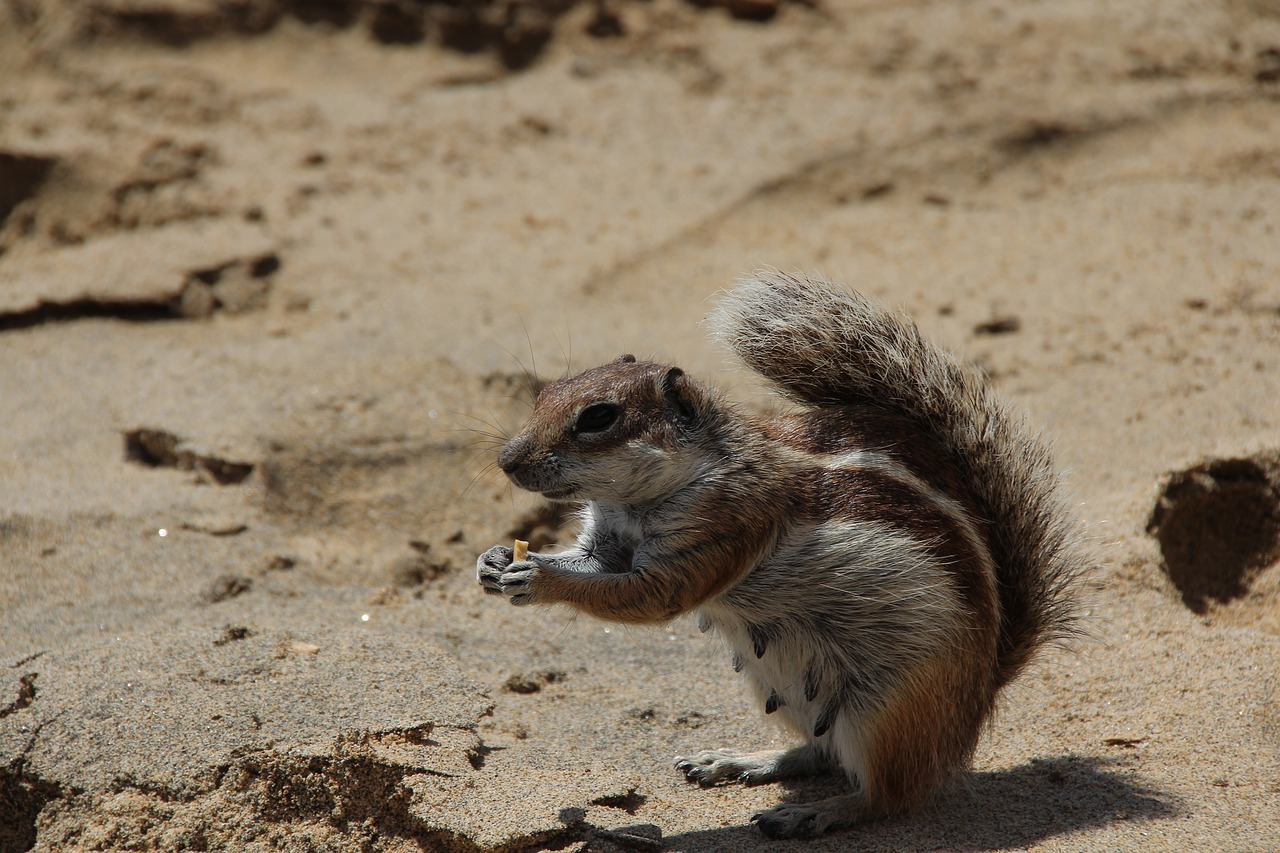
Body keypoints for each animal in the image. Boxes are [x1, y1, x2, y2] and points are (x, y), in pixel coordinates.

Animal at [478, 270, 1080, 835]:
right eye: (545, 394)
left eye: (599, 417)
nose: (507, 462)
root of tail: (982, 693)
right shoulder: (609, 539)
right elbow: (597, 566)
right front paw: (494, 562)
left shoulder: (727, 524)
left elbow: (654, 595)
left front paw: (541, 580)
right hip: (782, 687)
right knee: (820, 751)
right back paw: (740, 760)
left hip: (885, 709)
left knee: (888, 794)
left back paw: (814, 813)